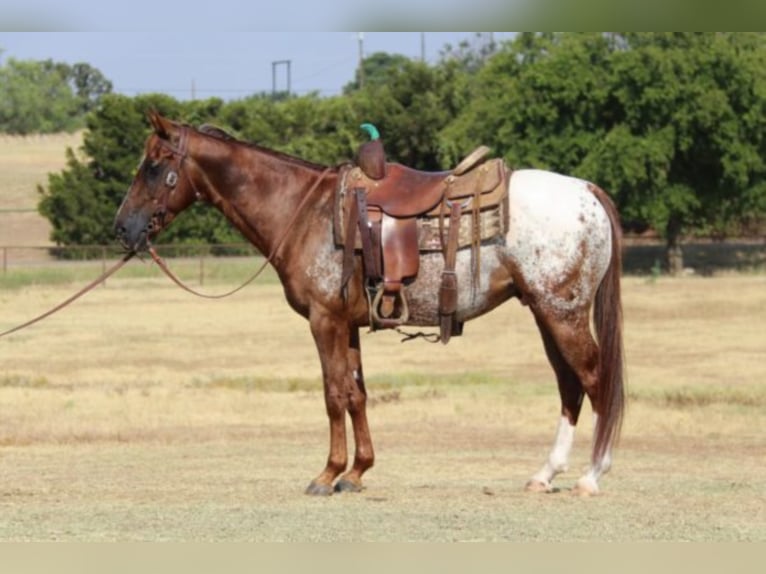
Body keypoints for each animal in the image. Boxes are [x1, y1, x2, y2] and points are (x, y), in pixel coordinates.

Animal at [117, 110, 628, 498]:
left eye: (153, 165)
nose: (123, 227)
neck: (303, 211)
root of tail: (587, 190)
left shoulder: (323, 321)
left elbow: (333, 394)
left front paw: (327, 474)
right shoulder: (347, 324)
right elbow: (357, 392)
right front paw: (357, 471)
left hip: (562, 313)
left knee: (595, 380)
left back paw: (591, 476)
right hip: (545, 313)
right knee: (569, 385)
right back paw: (545, 474)